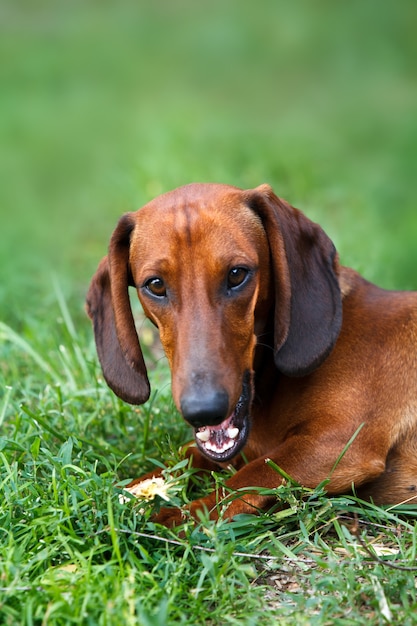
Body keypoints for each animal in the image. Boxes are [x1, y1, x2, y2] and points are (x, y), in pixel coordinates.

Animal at [85, 183, 416, 524]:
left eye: (236, 274)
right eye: (155, 285)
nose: (203, 410)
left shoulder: (337, 443)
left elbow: (242, 482)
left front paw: (168, 520)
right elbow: (179, 459)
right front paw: (125, 496)